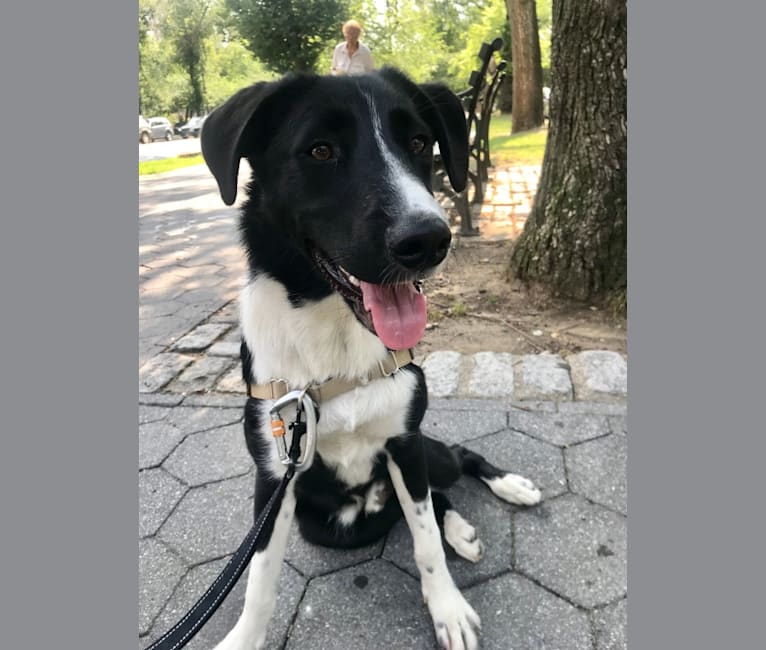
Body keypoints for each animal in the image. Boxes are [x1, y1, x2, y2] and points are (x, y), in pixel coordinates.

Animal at [201, 68, 544, 644]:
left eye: (419, 143)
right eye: (320, 150)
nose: (428, 240)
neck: (334, 341)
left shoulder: (405, 442)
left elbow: (425, 541)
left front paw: (448, 609)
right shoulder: (274, 477)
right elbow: (259, 580)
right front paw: (243, 638)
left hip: (429, 454)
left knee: (457, 464)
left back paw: (506, 491)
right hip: (323, 518)